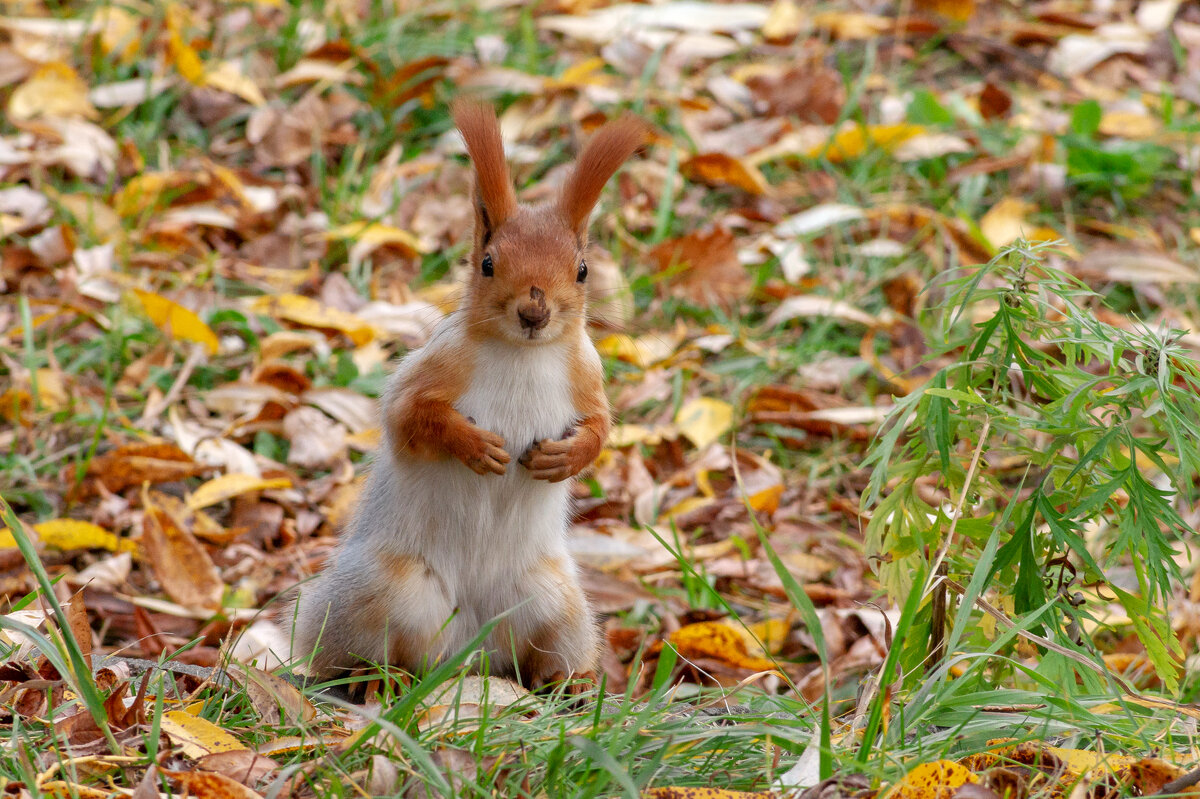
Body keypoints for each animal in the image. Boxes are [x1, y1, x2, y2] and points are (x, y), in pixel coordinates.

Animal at [290, 97, 648, 686]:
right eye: (487, 264)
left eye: (582, 270)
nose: (534, 311)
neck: (523, 354)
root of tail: (471, 652)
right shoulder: (434, 367)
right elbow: (409, 418)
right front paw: (474, 446)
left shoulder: (587, 376)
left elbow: (599, 428)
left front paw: (565, 457)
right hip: (387, 592)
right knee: (375, 653)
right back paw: (381, 678)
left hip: (553, 601)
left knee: (542, 654)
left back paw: (568, 683)